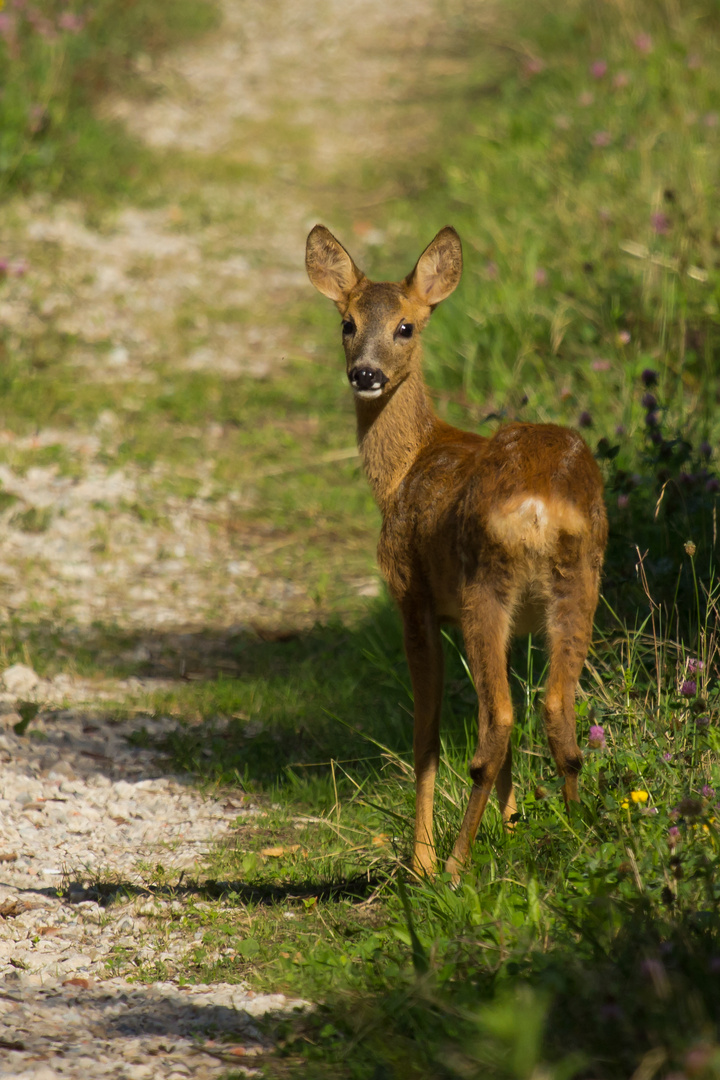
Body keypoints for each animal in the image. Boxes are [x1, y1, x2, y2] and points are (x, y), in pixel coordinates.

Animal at [304, 223, 608, 881]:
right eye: (347, 323)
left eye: (406, 326)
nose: (365, 373)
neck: (404, 469)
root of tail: (538, 507)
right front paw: (513, 824)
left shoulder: (411, 595)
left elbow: (426, 734)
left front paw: (418, 859)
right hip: (581, 580)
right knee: (553, 708)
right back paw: (578, 832)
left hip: (481, 585)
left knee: (498, 722)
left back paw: (453, 864)